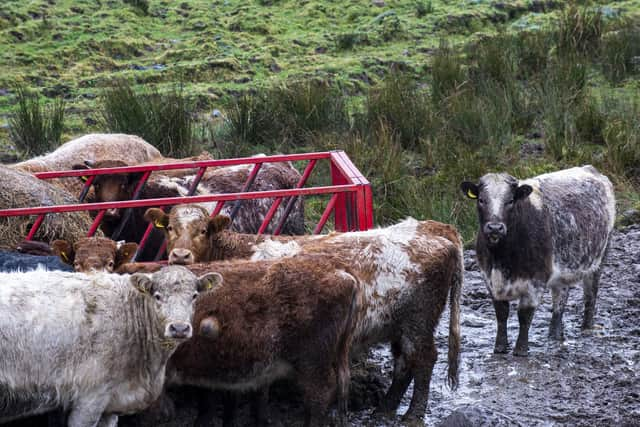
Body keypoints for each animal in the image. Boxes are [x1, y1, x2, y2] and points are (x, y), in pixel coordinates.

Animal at [460, 166, 616, 356]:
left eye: (510, 201)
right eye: (481, 200)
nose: (495, 227)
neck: (501, 259)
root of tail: (590, 169)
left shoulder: (535, 281)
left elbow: (524, 315)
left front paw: (521, 349)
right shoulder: (489, 279)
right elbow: (501, 313)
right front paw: (500, 347)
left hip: (600, 257)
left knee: (590, 295)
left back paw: (586, 328)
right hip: (563, 269)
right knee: (560, 299)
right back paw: (554, 334)